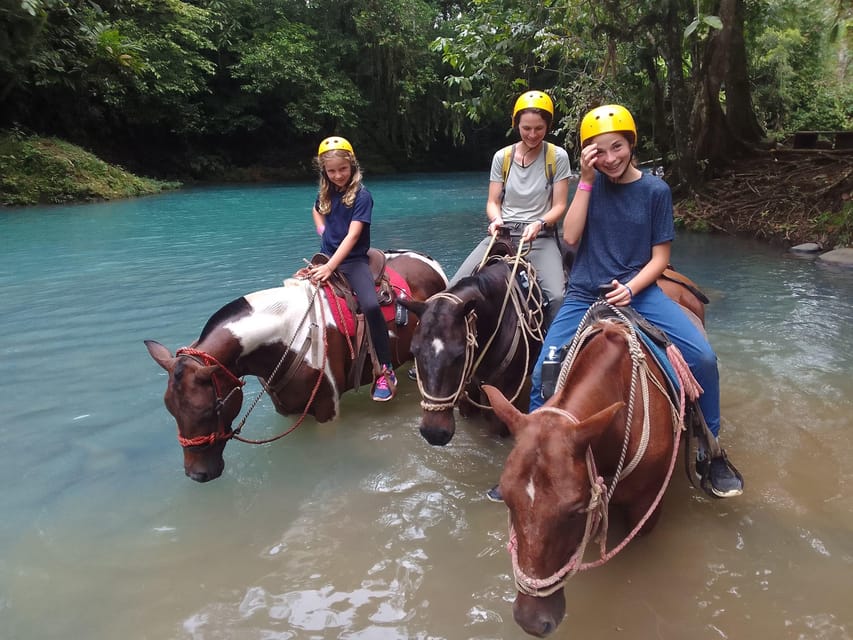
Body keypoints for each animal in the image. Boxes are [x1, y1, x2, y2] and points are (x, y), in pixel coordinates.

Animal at [145, 250, 446, 480]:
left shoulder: (327, 409)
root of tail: (428, 260)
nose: (198, 475)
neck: (287, 335)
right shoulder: (286, 407)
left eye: (210, 409)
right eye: (171, 409)